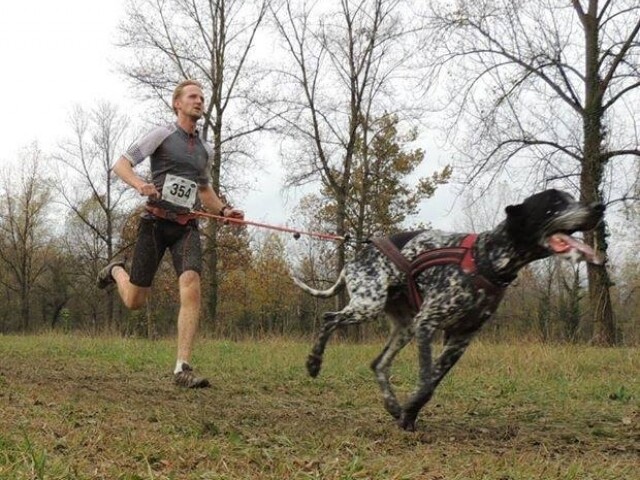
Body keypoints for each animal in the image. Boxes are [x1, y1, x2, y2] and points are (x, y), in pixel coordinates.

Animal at [292, 190, 604, 432]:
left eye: (572, 197)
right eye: (555, 203)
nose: (599, 206)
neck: (485, 259)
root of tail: (355, 258)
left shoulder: (460, 339)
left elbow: (431, 382)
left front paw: (408, 412)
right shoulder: (428, 324)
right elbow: (426, 380)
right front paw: (410, 415)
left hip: (404, 327)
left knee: (378, 363)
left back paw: (392, 405)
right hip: (369, 306)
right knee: (328, 319)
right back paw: (313, 363)